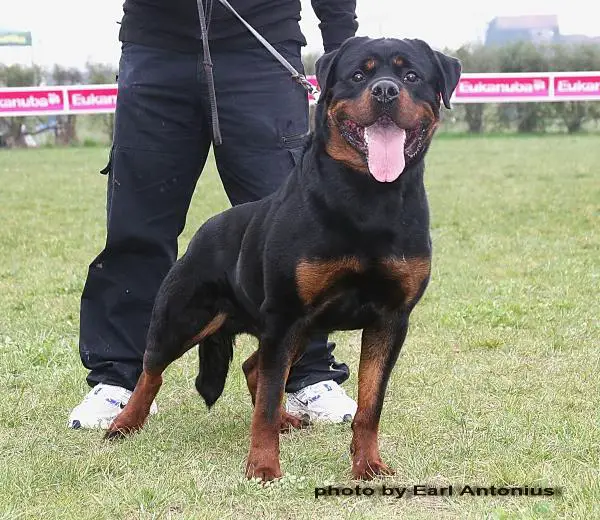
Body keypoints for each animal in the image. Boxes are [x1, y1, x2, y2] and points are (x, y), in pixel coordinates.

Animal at [108, 35, 462, 484]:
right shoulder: (286, 313)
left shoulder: (390, 320)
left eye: (412, 75)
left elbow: (370, 404)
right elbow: (268, 398)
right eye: (358, 75)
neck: (369, 198)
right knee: (150, 369)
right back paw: (124, 423)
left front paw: (367, 465)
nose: (385, 91)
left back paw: (286, 420)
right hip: (185, 316)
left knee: (252, 368)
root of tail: (205, 231)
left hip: (301, 330)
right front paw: (262, 467)